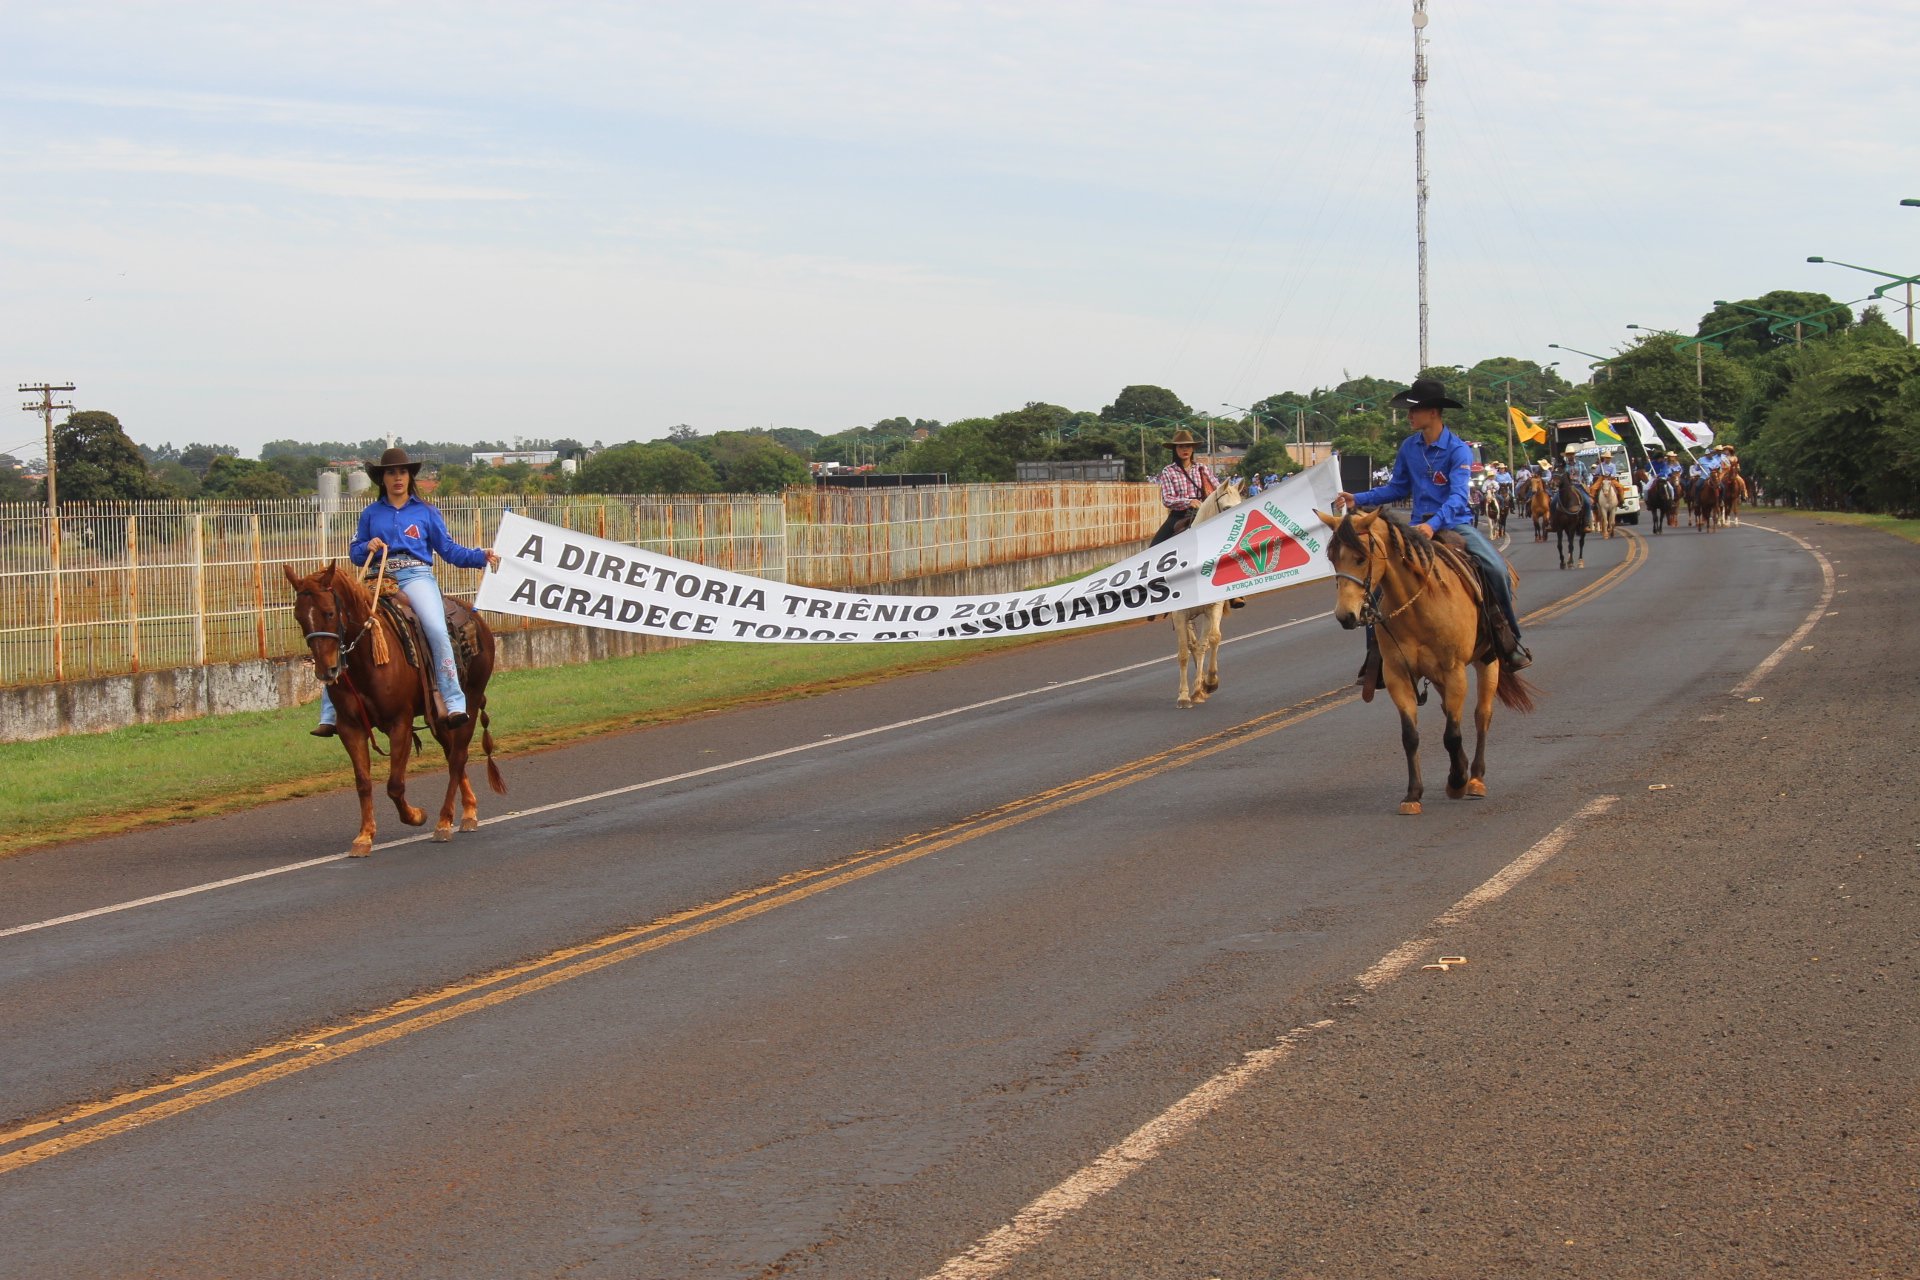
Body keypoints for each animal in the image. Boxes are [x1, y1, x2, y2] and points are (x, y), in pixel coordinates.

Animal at [284, 564, 506, 855]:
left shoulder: (400, 723)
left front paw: (416, 815)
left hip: (469, 701)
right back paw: (468, 811)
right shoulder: (350, 728)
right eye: (299, 617)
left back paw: (444, 822)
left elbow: (395, 785)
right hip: (440, 718)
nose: (326, 670)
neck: (366, 660)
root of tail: (475, 616)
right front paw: (364, 836)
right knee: (453, 756)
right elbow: (363, 782)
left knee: (458, 758)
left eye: (329, 612)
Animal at [1313, 506, 1536, 817]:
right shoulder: (1397, 676)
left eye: (1360, 557)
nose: (1345, 615)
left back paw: (1475, 778)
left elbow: (1452, 734)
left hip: (1487, 661)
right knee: (1450, 711)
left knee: (1482, 715)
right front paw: (1413, 794)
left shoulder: (1455, 671)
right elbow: (1411, 736)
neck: (1419, 605)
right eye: (1333, 558)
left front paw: (1457, 782)